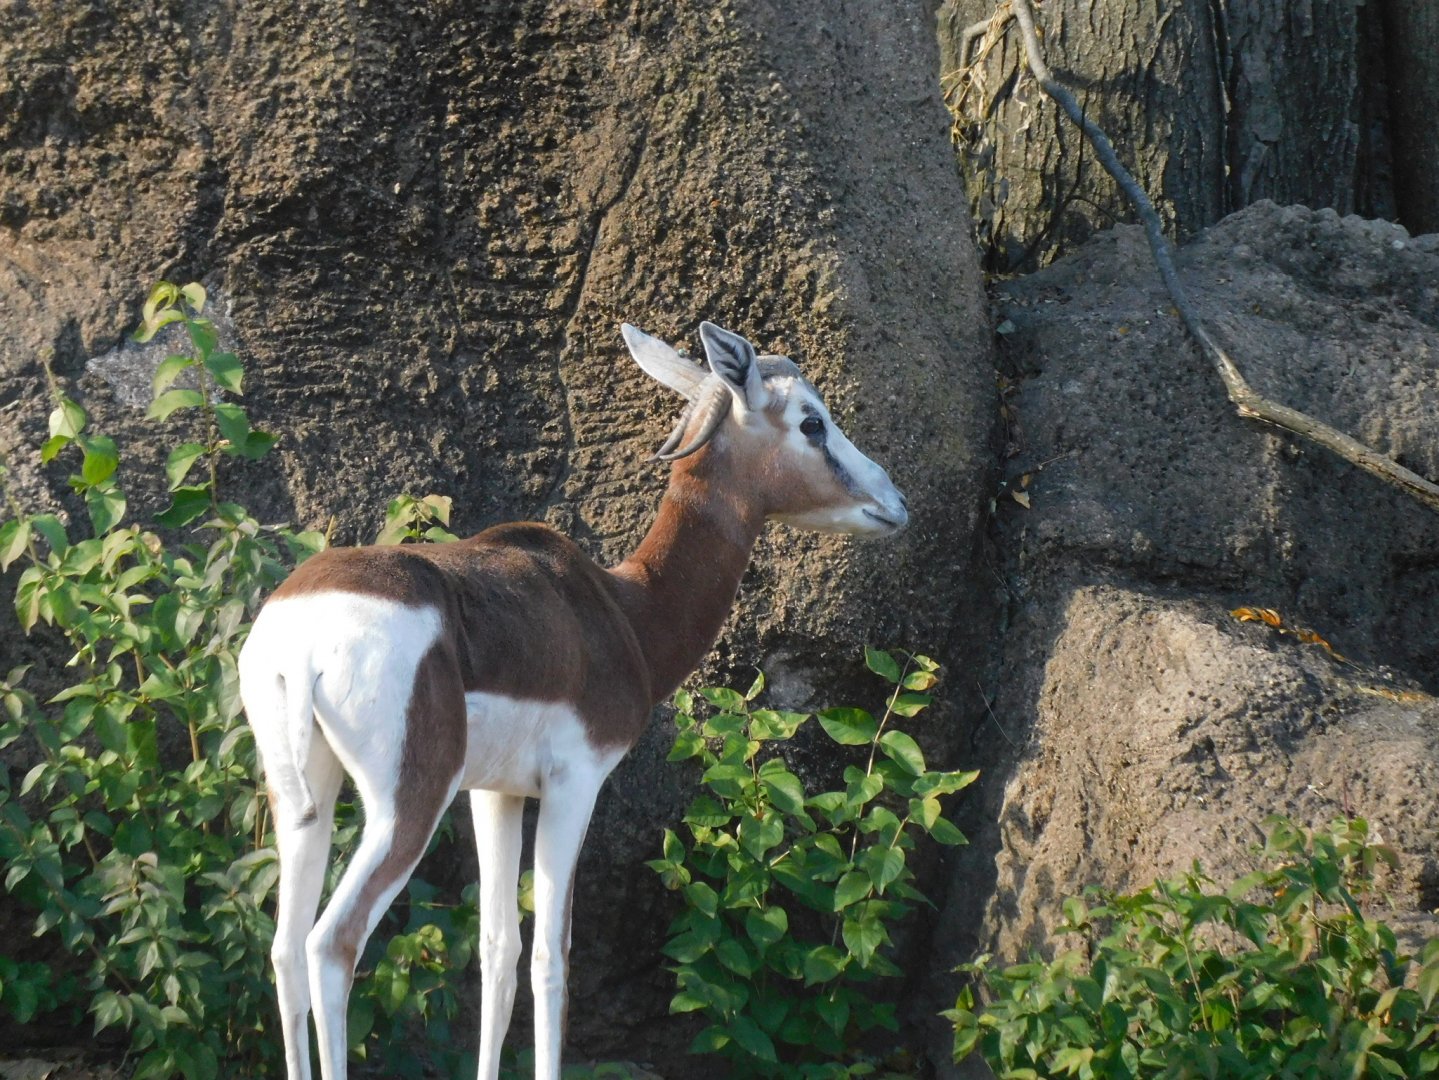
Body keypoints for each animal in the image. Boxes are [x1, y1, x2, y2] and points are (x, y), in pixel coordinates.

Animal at [238, 321, 909, 1080]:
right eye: (811, 421)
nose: (894, 501)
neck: (623, 609)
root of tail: (300, 635)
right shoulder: (575, 784)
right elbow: (552, 960)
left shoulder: (495, 794)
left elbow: (498, 952)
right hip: (405, 805)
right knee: (331, 944)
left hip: (303, 798)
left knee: (285, 949)